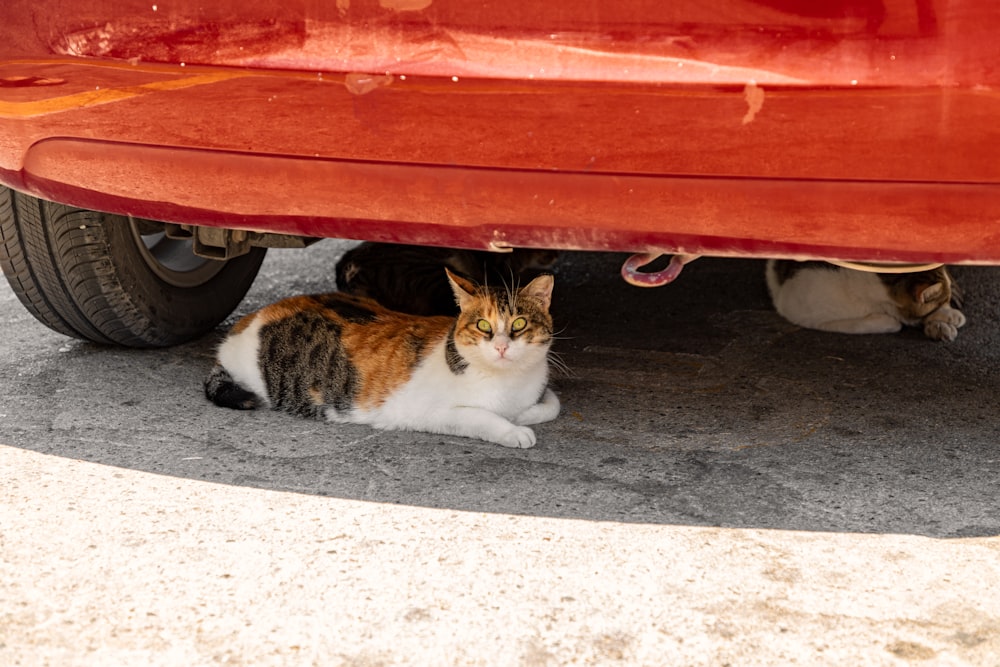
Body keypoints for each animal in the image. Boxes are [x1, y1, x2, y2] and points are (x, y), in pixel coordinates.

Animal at [203, 268, 564, 448]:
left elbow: (551, 405)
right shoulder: (428, 412)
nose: (502, 346)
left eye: (519, 324)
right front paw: (514, 431)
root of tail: (248, 319)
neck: (507, 384)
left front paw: (523, 416)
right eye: (483, 326)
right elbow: (481, 417)